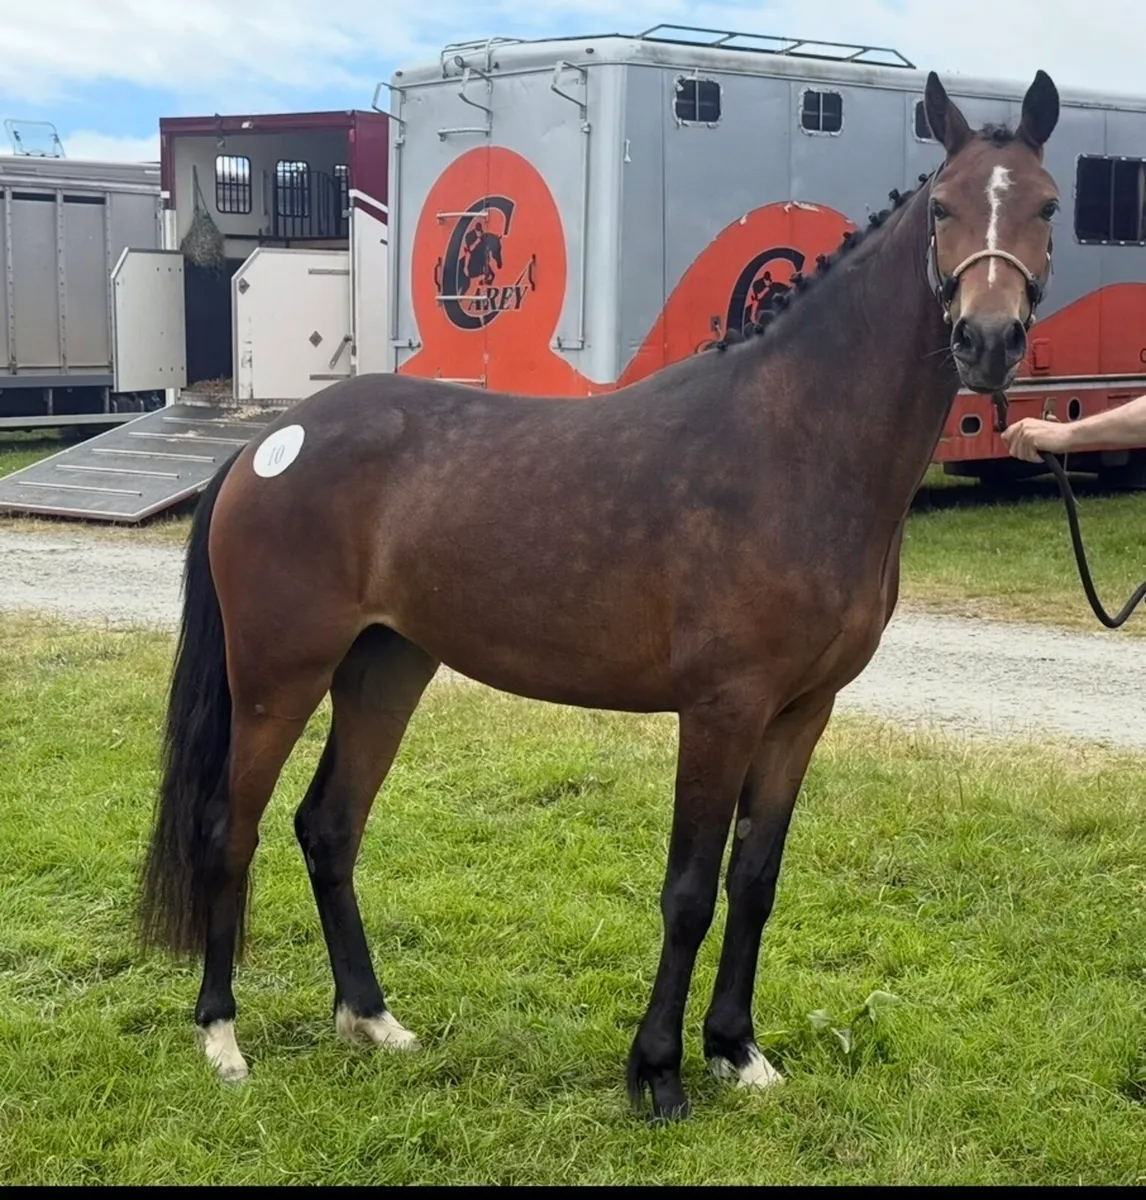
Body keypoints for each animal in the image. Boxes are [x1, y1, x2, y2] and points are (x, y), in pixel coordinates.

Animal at [138, 70, 1061, 1121]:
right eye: (944, 208)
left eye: (1047, 206)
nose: (987, 339)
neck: (796, 443)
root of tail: (268, 443)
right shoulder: (722, 710)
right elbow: (689, 890)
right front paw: (657, 1070)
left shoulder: (802, 712)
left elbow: (755, 880)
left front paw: (737, 1051)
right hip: (277, 678)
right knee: (231, 828)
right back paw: (221, 1035)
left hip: (386, 668)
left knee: (328, 827)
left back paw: (372, 1019)